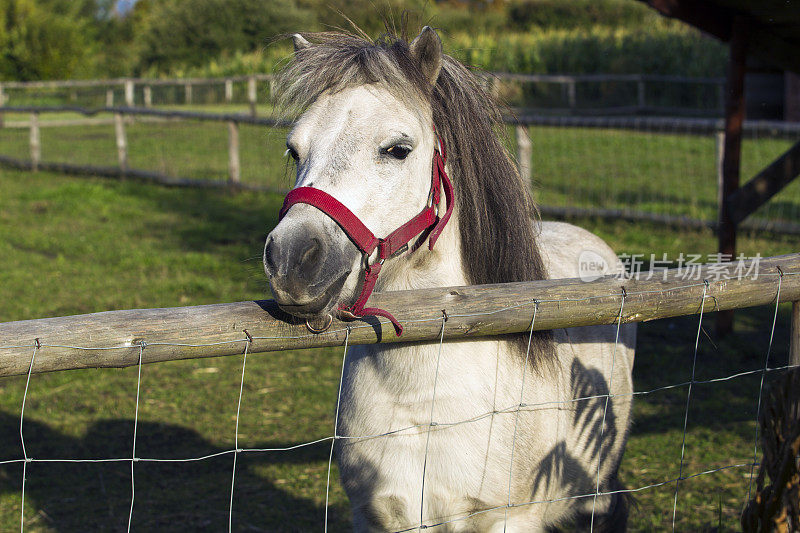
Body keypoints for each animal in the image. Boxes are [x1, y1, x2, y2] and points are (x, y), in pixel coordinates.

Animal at [266, 27, 636, 528]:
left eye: (397, 149)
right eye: (294, 150)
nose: (291, 260)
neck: (423, 400)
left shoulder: (507, 519)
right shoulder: (378, 516)